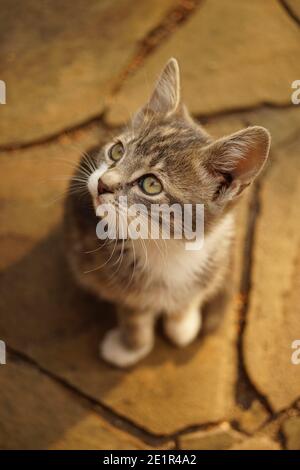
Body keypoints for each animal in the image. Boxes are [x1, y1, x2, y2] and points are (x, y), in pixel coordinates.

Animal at [64, 57, 270, 368]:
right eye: (116, 152)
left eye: (151, 184)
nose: (102, 183)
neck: (169, 247)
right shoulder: (123, 283)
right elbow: (135, 317)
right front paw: (130, 347)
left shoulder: (219, 252)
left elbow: (193, 295)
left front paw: (183, 324)